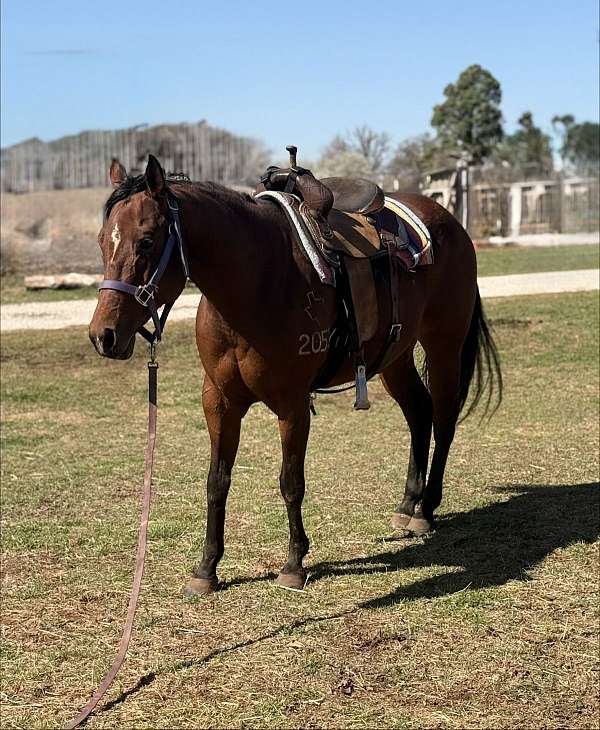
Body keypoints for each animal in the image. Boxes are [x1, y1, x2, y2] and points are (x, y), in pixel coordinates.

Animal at [89, 155, 502, 596]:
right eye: (102, 241)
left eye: (147, 241)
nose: (103, 335)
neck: (257, 281)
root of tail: (450, 222)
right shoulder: (218, 400)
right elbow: (217, 481)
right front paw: (206, 569)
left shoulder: (292, 405)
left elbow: (291, 481)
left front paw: (293, 563)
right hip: (395, 356)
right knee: (420, 413)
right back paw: (407, 505)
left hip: (443, 345)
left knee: (443, 417)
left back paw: (426, 509)